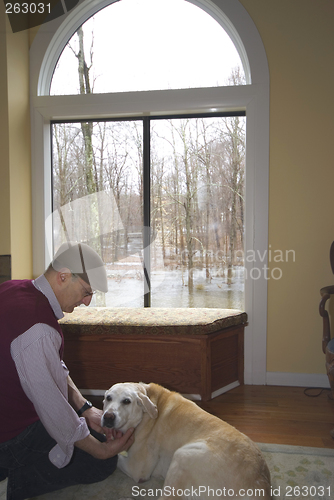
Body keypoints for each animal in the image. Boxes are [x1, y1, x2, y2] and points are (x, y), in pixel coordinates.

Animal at [102, 380, 272, 498]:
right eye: (108, 398)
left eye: (126, 401)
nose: (107, 417)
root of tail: (260, 486)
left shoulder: (136, 468)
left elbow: (116, 456)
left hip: (182, 456)